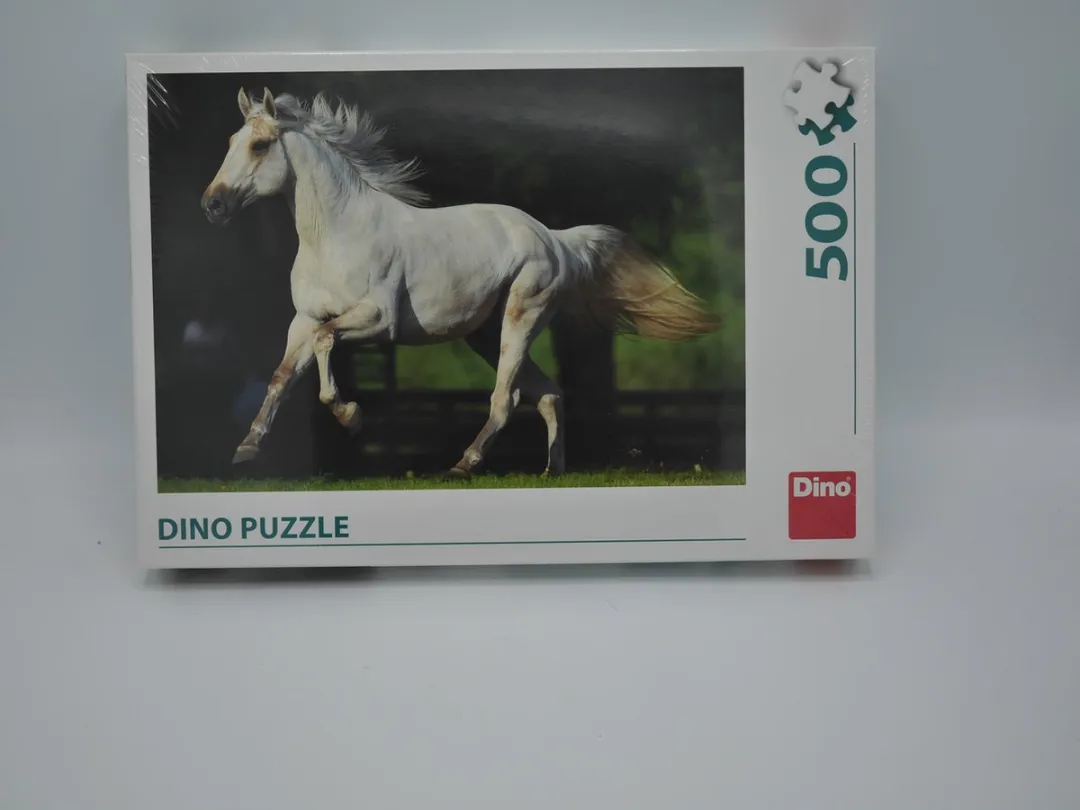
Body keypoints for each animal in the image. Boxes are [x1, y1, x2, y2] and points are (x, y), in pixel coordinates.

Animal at [200, 87, 721, 478]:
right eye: (230, 140)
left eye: (260, 145)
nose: (213, 205)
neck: (336, 234)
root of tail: (556, 239)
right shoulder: (304, 320)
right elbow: (281, 376)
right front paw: (246, 449)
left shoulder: (377, 320)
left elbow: (328, 348)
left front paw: (351, 417)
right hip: (486, 334)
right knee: (548, 392)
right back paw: (552, 472)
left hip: (520, 318)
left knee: (507, 397)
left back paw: (464, 465)